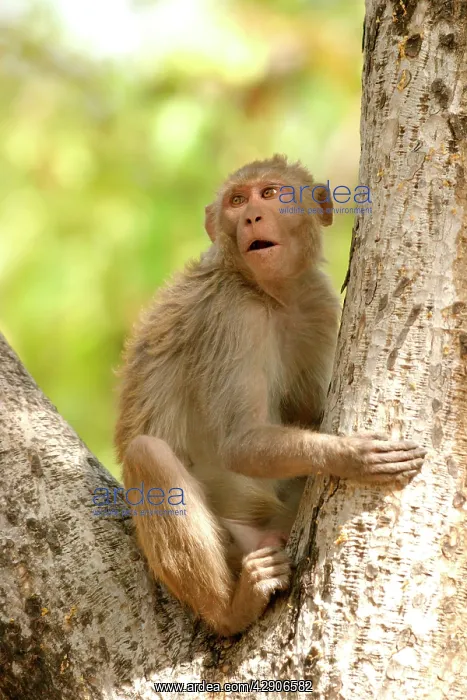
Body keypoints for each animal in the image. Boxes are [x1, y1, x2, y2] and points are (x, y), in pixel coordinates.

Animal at [114, 154, 426, 636]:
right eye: (237, 201)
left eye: (270, 193)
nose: (251, 218)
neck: (268, 294)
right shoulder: (233, 317)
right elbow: (239, 441)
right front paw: (350, 455)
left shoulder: (315, 303)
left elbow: (308, 412)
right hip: (236, 543)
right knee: (147, 453)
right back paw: (232, 609)